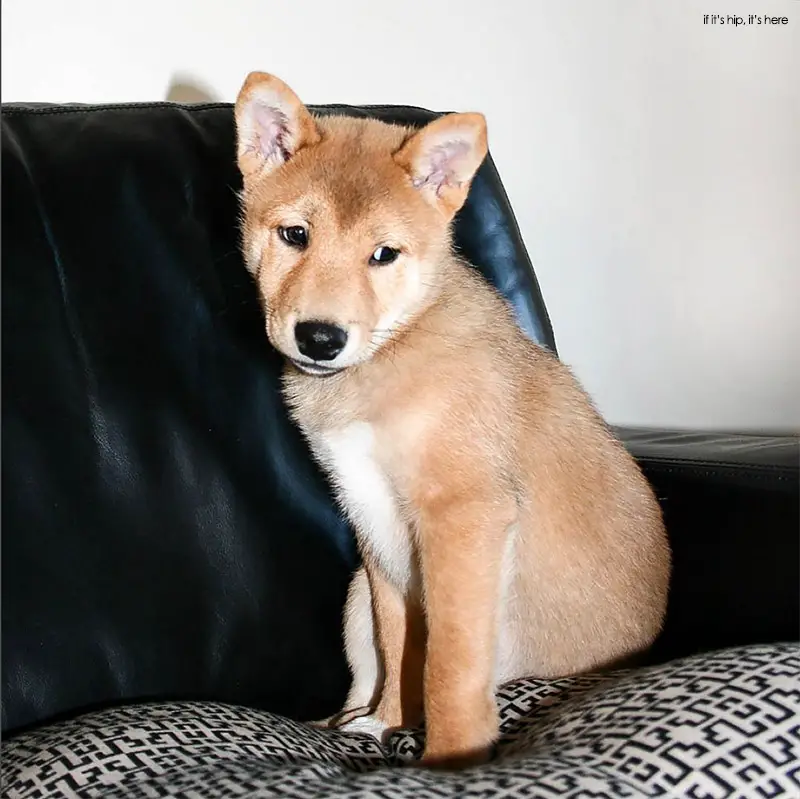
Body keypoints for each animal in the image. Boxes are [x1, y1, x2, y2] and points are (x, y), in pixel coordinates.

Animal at [234, 73, 672, 768]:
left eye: (384, 254)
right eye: (295, 235)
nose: (320, 339)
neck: (391, 354)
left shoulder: (463, 516)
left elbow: (448, 666)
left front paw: (451, 755)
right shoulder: (374, 528)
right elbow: (398, 648)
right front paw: (388, 721)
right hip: (353, 596)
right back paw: (355, 721)